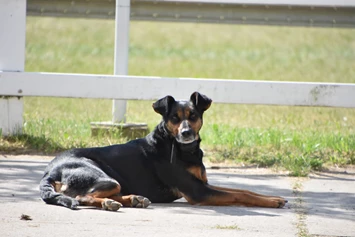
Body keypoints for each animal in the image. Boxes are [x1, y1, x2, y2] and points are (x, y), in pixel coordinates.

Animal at [39, 91, 290, 210]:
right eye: (174, 118)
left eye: (193, 116)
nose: (186, 133)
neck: (181, 148)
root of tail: (49, 171)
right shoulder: (198, 191)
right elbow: (239, 194)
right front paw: (271, 203)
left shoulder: (203, 184)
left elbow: (244, 190)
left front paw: (273, 197)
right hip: (103, 177)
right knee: (83, 196)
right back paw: (112, 203)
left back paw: (133, 199)